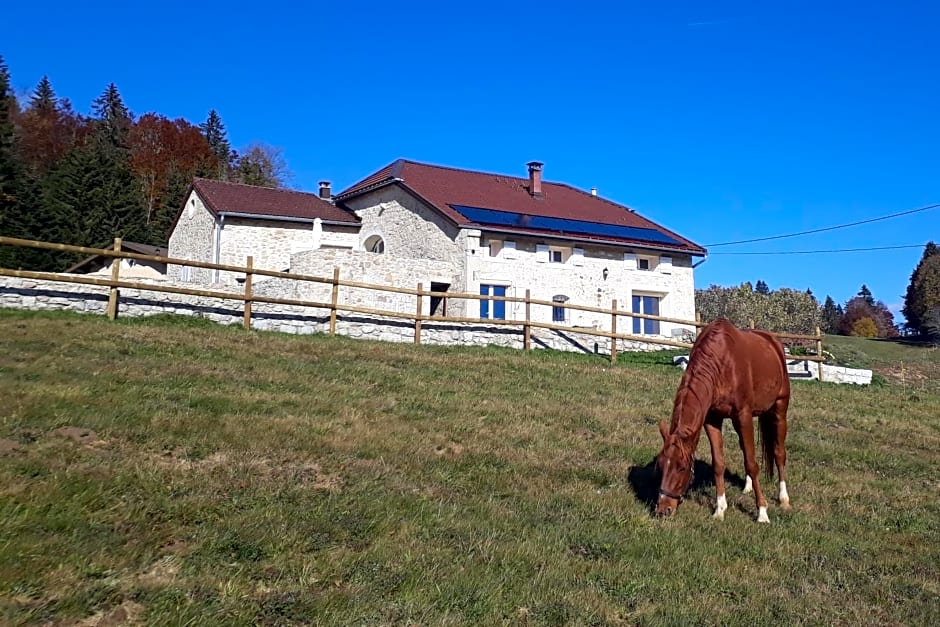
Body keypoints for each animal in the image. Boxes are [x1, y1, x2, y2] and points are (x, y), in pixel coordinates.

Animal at [652, 318, 792, 524]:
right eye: (660, 465)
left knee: (779, 452)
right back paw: (748, 487)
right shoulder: (712, 419)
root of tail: (774, 342)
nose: (663, 510)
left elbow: (752, 464)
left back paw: (783, 499)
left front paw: (762, 512)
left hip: (780, 409)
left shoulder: (743, 415)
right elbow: (719, 464)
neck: (722, 362)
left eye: (682, 468)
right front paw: (719, 509)